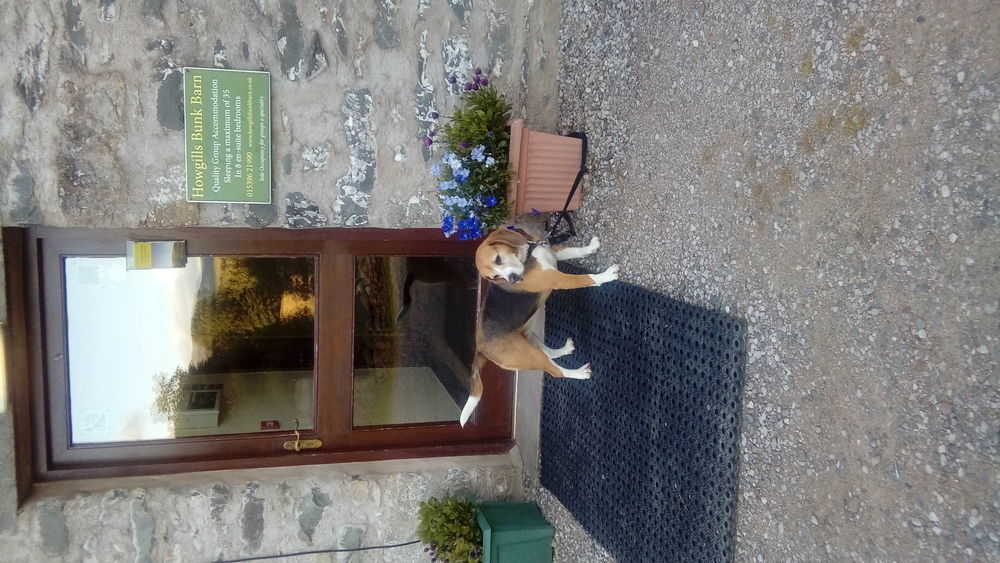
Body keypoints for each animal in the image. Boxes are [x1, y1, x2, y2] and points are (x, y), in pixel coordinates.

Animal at [460, 227, 616, 426]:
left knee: (549, 353)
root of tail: (480, 348)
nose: (512, 279)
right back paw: (580, 373)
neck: (527, 256)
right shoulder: (558, 280)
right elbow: (586, 278)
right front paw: (606, 276)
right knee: (555, 371)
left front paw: (590, 247)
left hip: (529, 339)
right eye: (495, 277)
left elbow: (574, 251)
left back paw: (566, 349)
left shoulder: (552, 253)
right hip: (528, 356)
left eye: (498, 260)